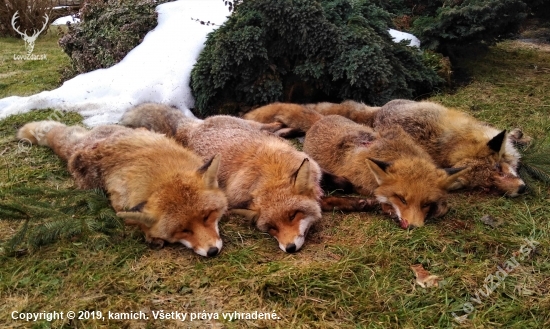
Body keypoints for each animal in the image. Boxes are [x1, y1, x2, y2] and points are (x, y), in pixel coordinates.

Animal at [16, 120, 229, 256]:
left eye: (207, 216)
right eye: (183, 231)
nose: (212, 251)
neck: (161, 176)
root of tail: (78, 148)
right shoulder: (120, 202)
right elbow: (133, 220)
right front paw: (149, 235)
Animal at [122, 105, 328, 251]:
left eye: (293, 215)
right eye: (272, 228)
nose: (289, 248)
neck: (271, 170)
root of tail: (193, 128)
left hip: (253, 126)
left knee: (271, 127)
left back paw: (285, 127)